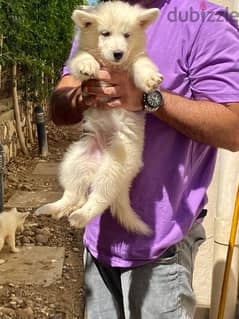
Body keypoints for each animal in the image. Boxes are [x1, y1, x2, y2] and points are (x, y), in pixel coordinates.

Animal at [35, 0, 163, 235]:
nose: (118, 53)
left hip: (115, 167)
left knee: (99, 197)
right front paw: (88, 65)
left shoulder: (136, 57)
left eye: (127, 35)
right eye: (105, 33)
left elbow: (141, 63)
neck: (112, 66)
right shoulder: (78, 55)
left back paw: (80, 216)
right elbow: (82, 58)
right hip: (74, 160)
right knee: (74, 194)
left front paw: (150, 79)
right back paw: (54, 209)